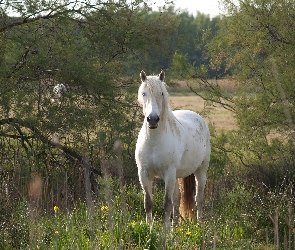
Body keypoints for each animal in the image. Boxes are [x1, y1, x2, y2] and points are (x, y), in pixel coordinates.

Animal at [135, 70, 212, 230]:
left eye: (162, 93)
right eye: (144, 93)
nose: (153, 119)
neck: (154, 141)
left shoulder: (168, 174)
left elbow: (167, 203)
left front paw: (165, 231)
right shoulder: (144, 174)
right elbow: (148, 203)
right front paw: (150, 228)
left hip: (201, 170)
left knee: (199, 198)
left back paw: (199, 225)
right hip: (177, 175)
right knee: (178, 198)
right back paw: (176, 226)